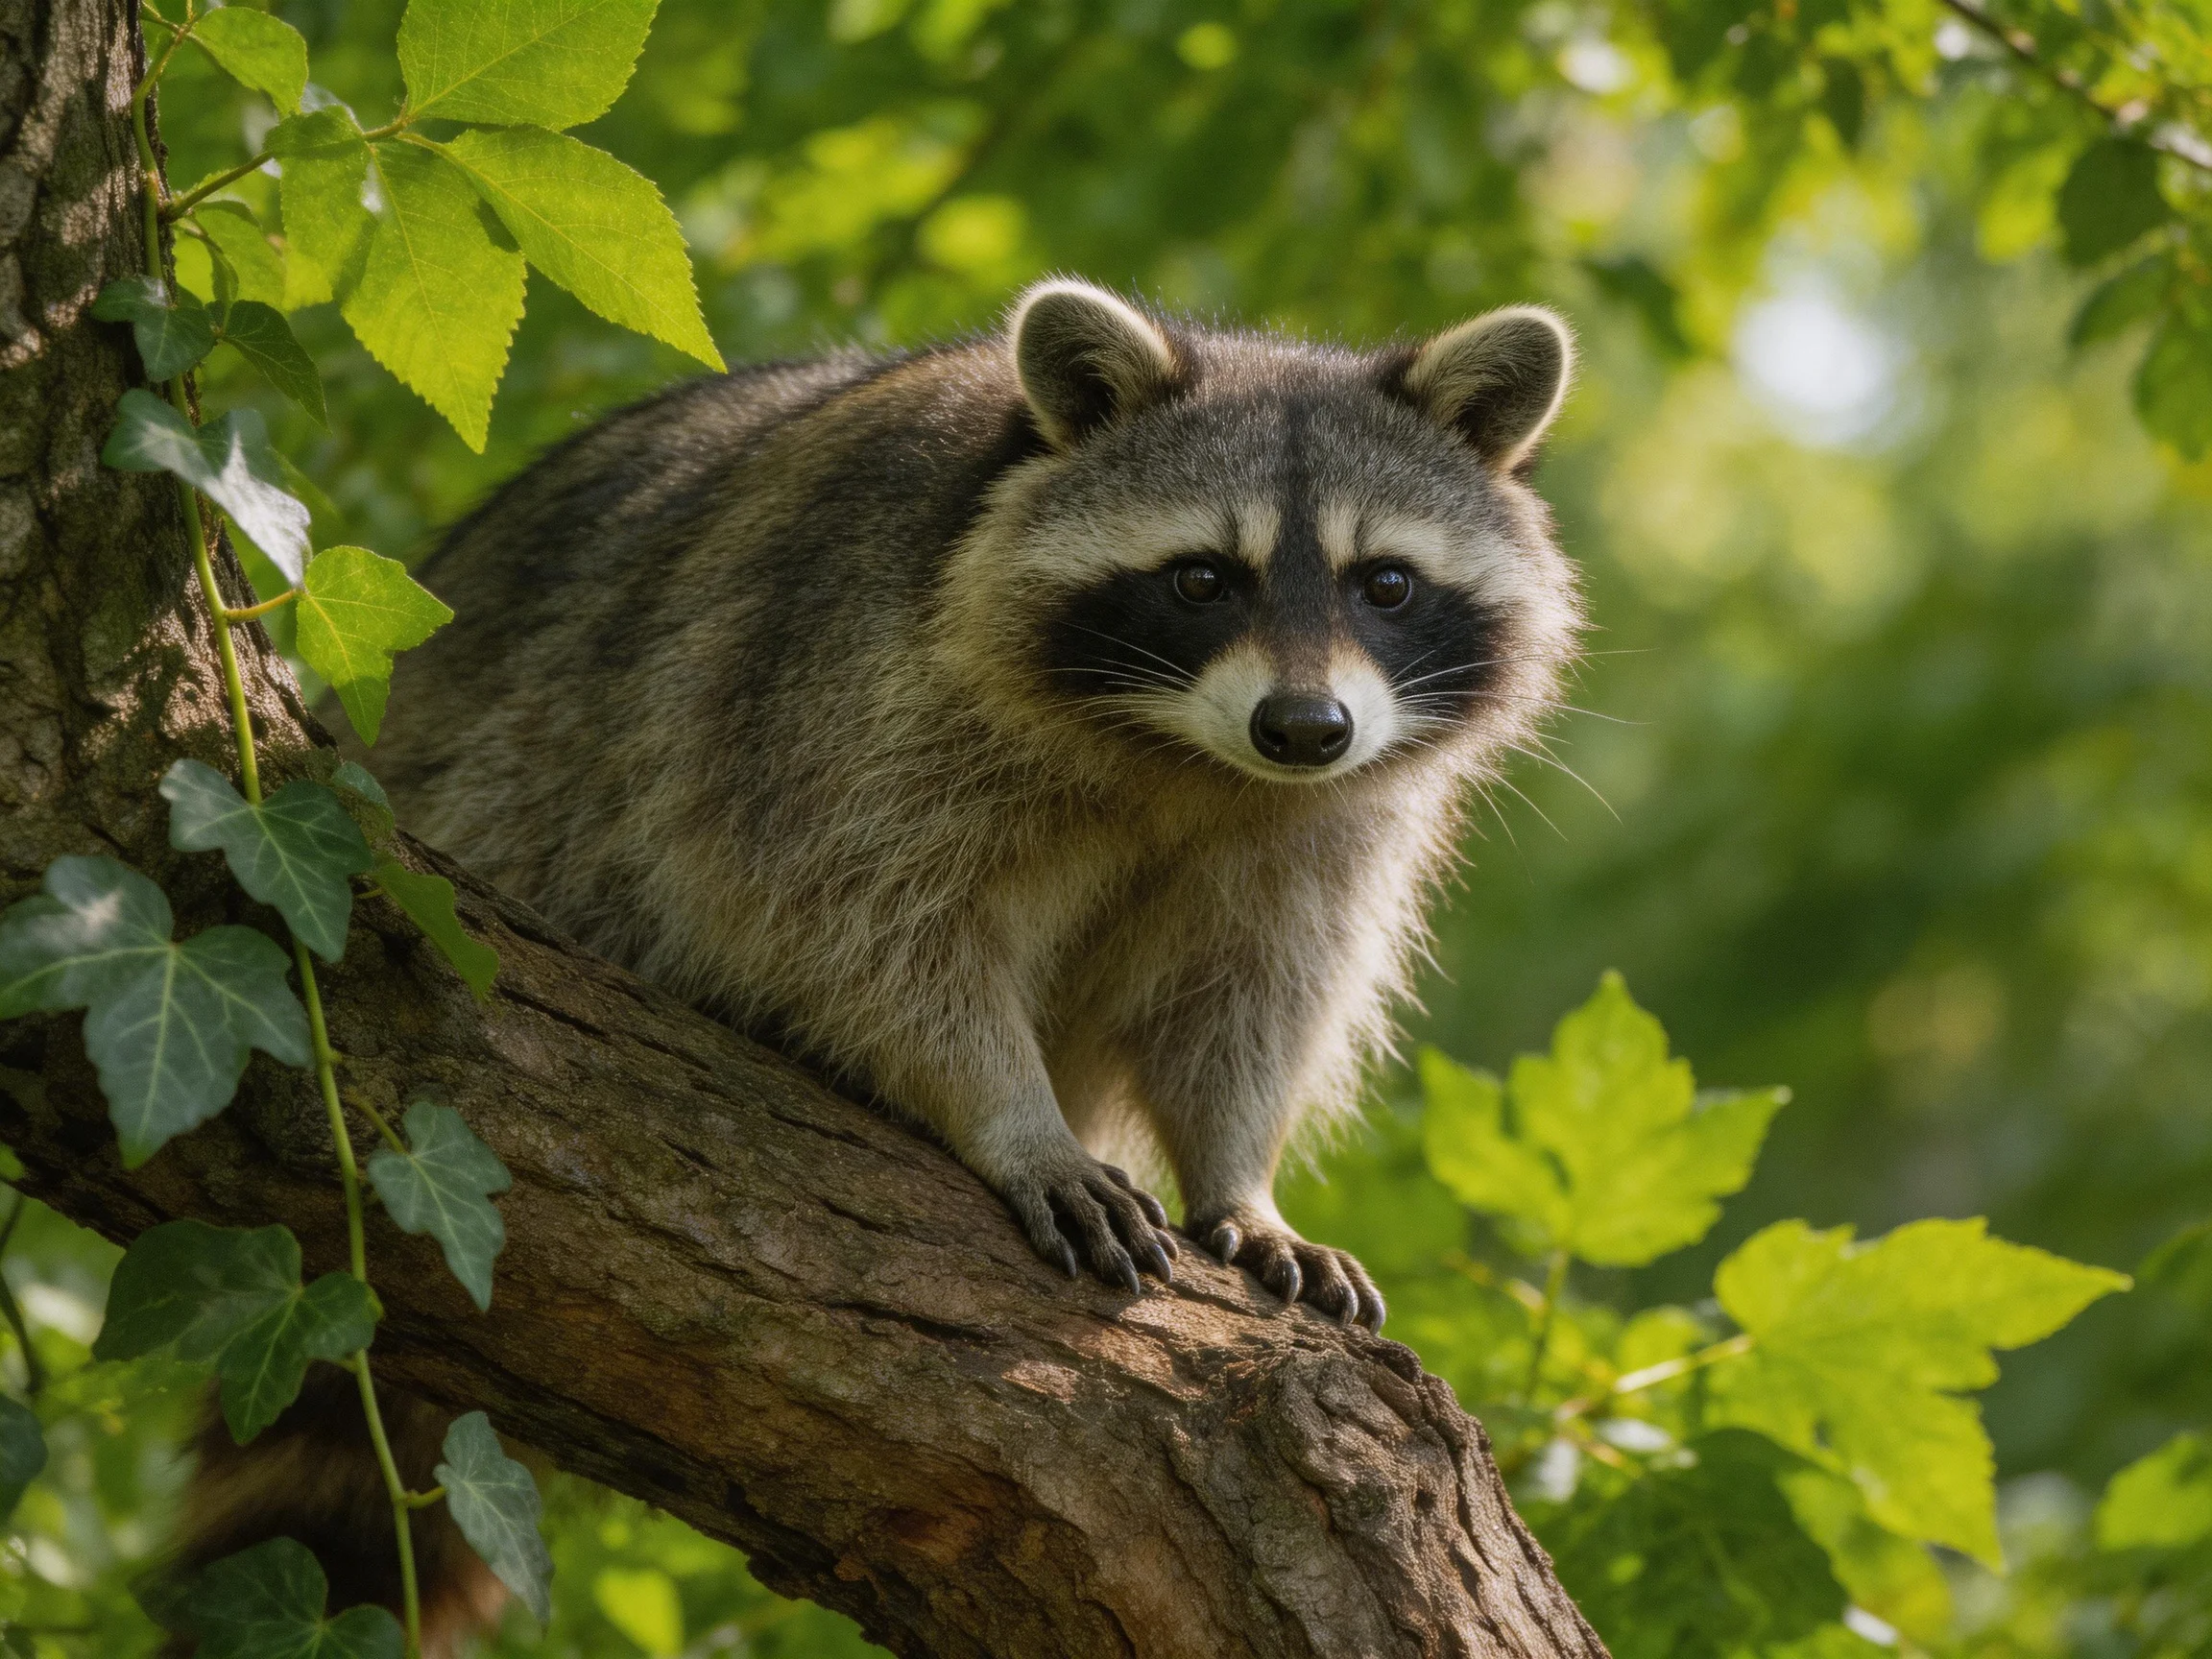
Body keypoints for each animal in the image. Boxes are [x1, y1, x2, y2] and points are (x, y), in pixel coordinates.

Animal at [164, 280, 1580, 1647]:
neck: (1191, 760)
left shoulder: (1321, 827)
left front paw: (1242, 1176)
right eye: (1202, 581)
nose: (1304, 725)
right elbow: (861, 932)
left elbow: (1250, 998)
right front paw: (1012, 1117)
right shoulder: (840, 696)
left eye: (1384, 583)